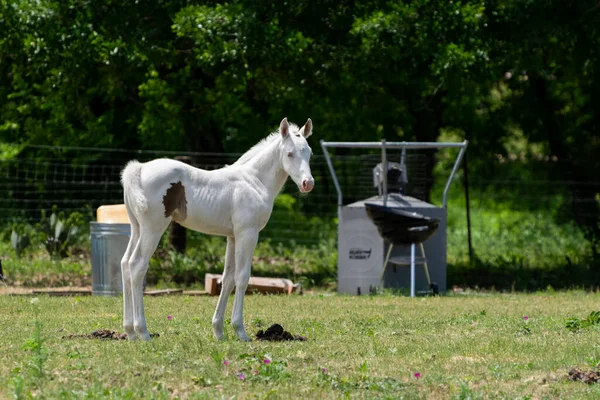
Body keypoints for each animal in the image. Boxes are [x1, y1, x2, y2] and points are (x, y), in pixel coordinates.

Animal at [118, 118, 314, 340]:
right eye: (289, 153)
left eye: (309, 152)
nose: (308, 183)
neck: (254, 181)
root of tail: (139, 169)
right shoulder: (248, 234)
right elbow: (242, 277)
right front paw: (240, 331)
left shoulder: (233, 237)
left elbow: (227, 279)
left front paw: (219, 330)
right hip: (153, 230)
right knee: (137, 266)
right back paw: (142, 332)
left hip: (136, 229)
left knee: (125, 264)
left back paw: (130, 331)